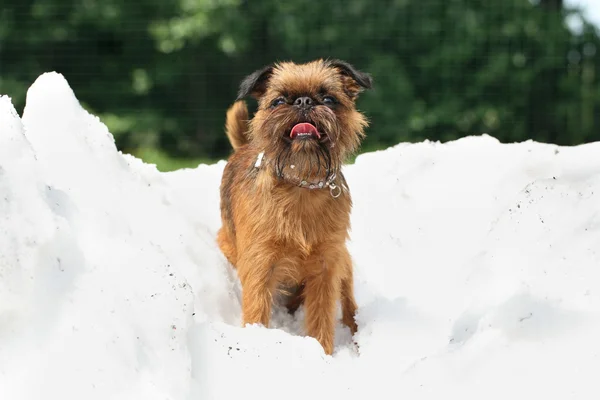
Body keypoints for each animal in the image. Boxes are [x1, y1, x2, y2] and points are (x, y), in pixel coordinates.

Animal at [218, 58, 372, 354]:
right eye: (278, 101)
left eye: (328, 99)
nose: (303, 101)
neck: (301, 184)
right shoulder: (259, 265)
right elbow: (256, 311)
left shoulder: (326, 268)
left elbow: (321, 317)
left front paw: (322, 353)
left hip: (343, 261)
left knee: (348, 303)